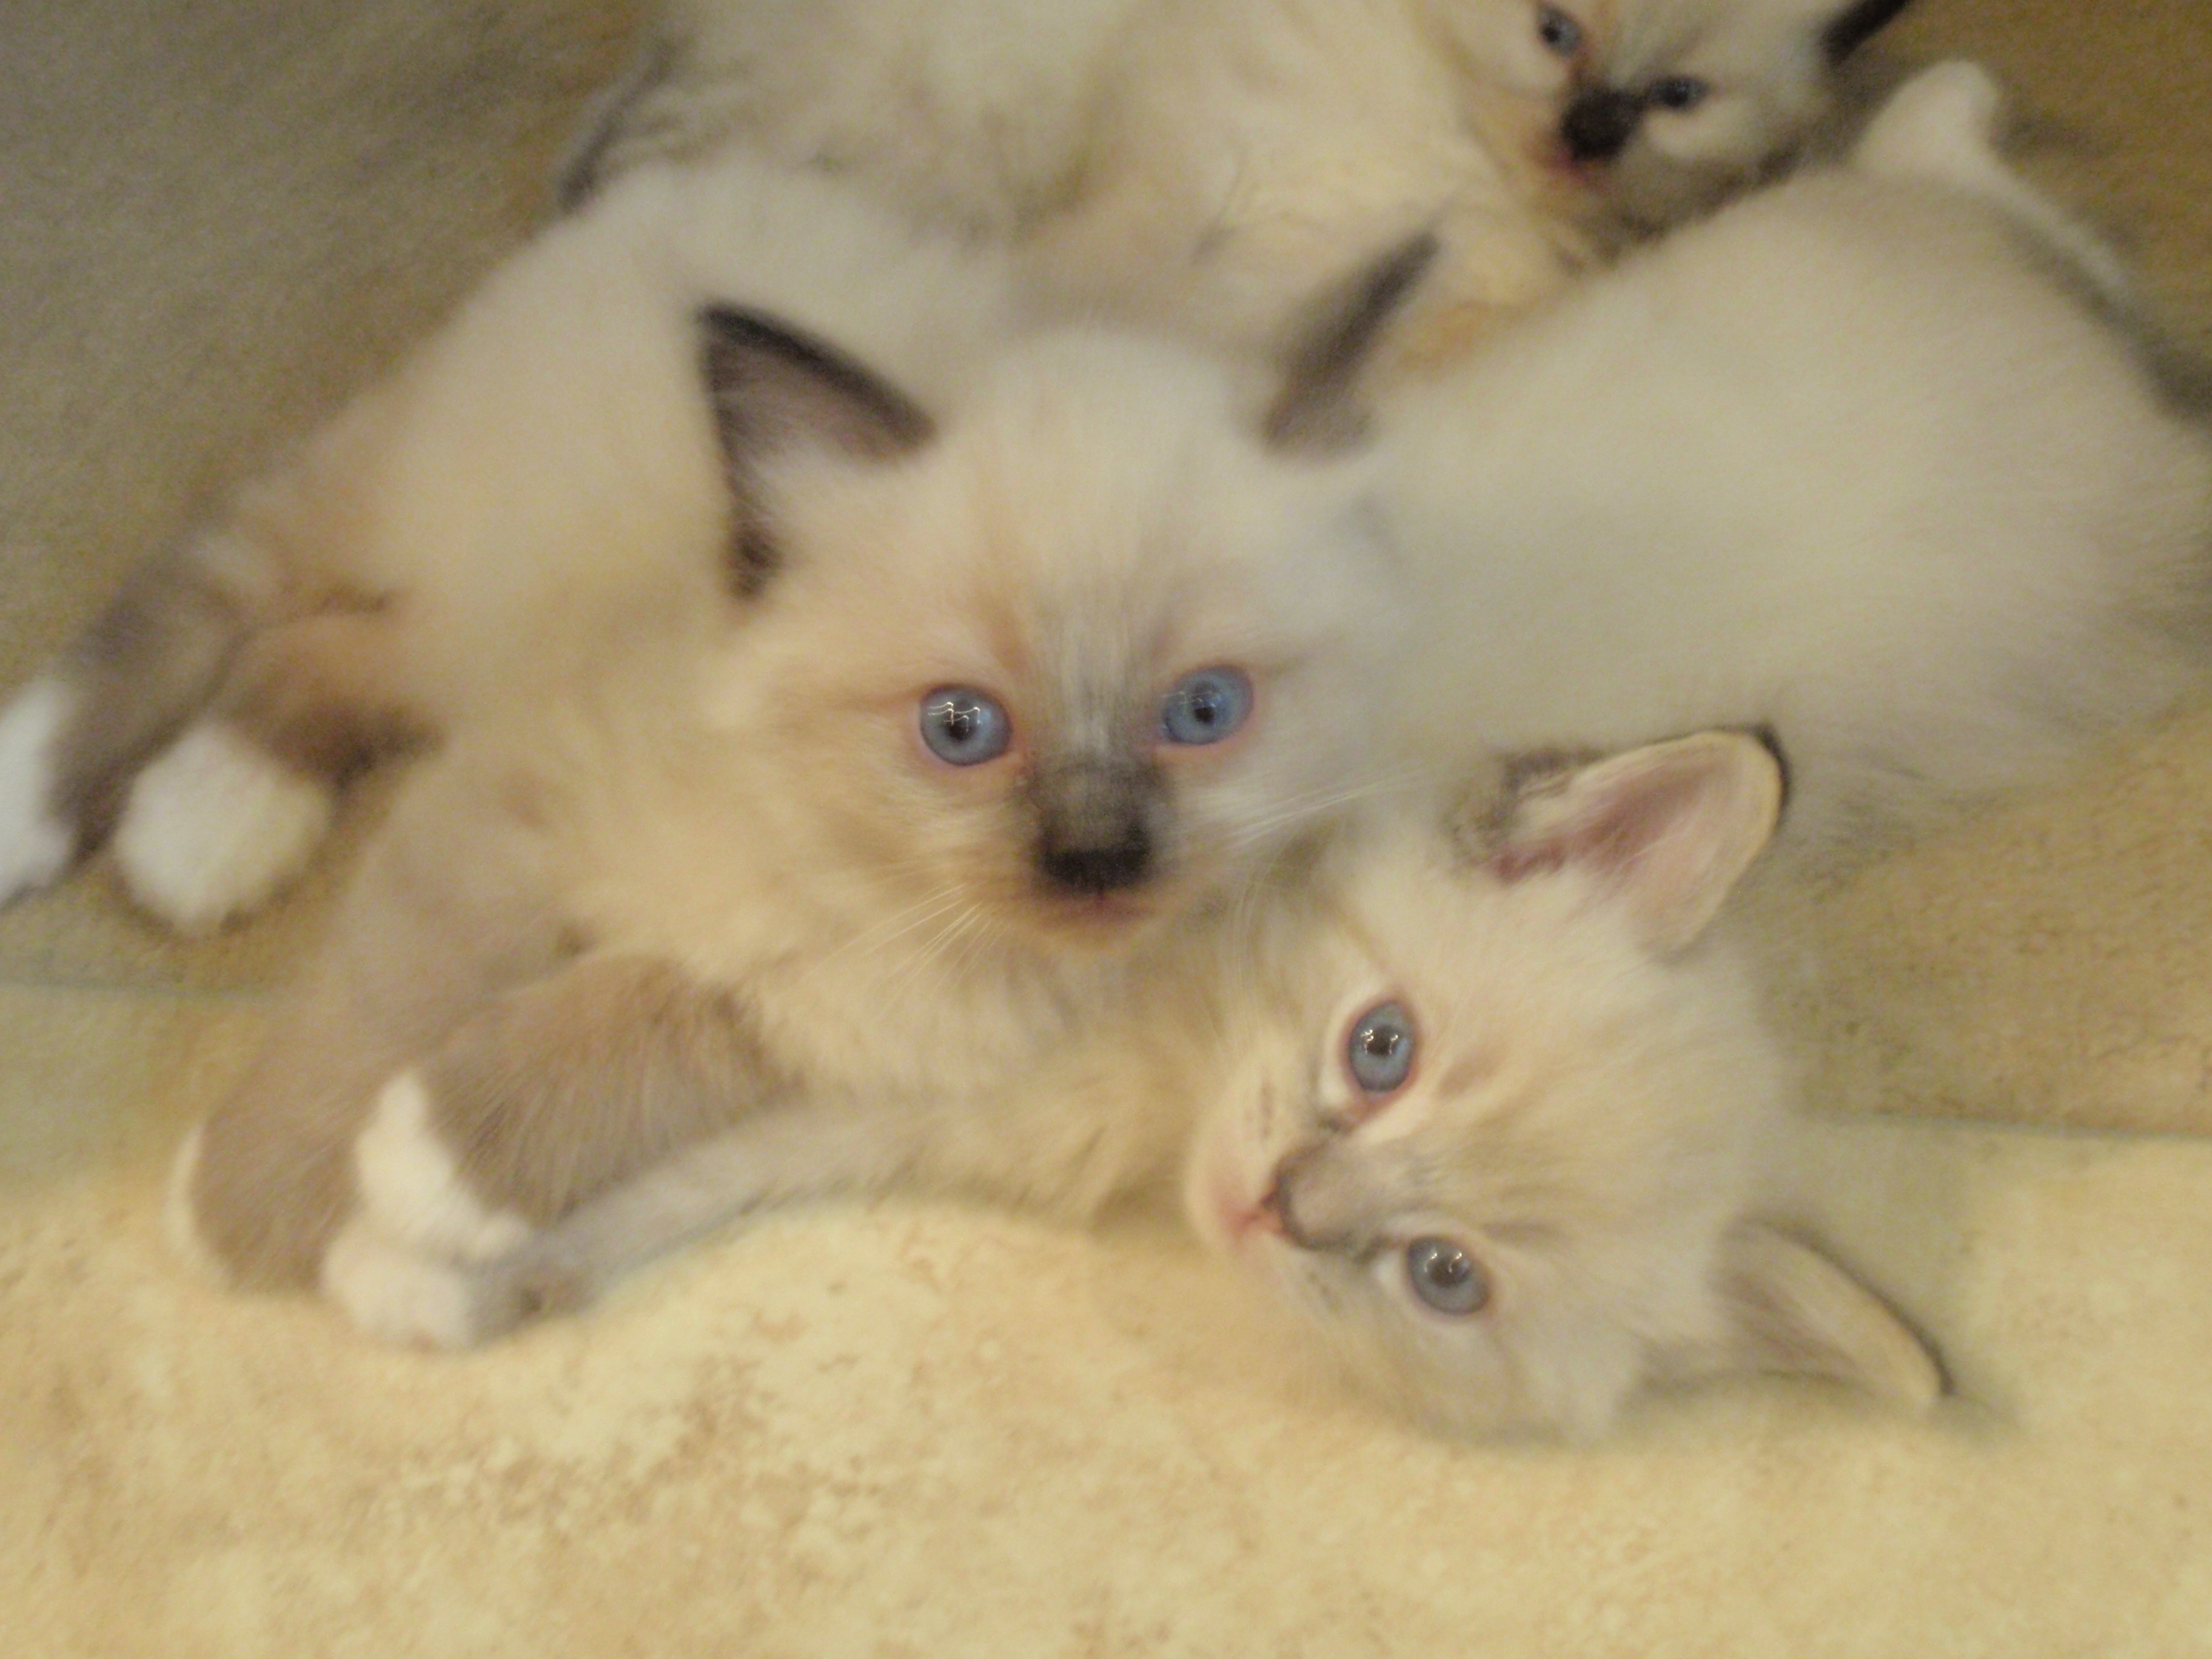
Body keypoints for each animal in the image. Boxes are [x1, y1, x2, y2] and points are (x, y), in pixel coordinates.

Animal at [0, 152, 1022, 937]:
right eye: (961, 725)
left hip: (486, 635)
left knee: (304, 655)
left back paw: (209, 823)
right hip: (409, 521)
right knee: (201, 599)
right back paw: (51, 815)